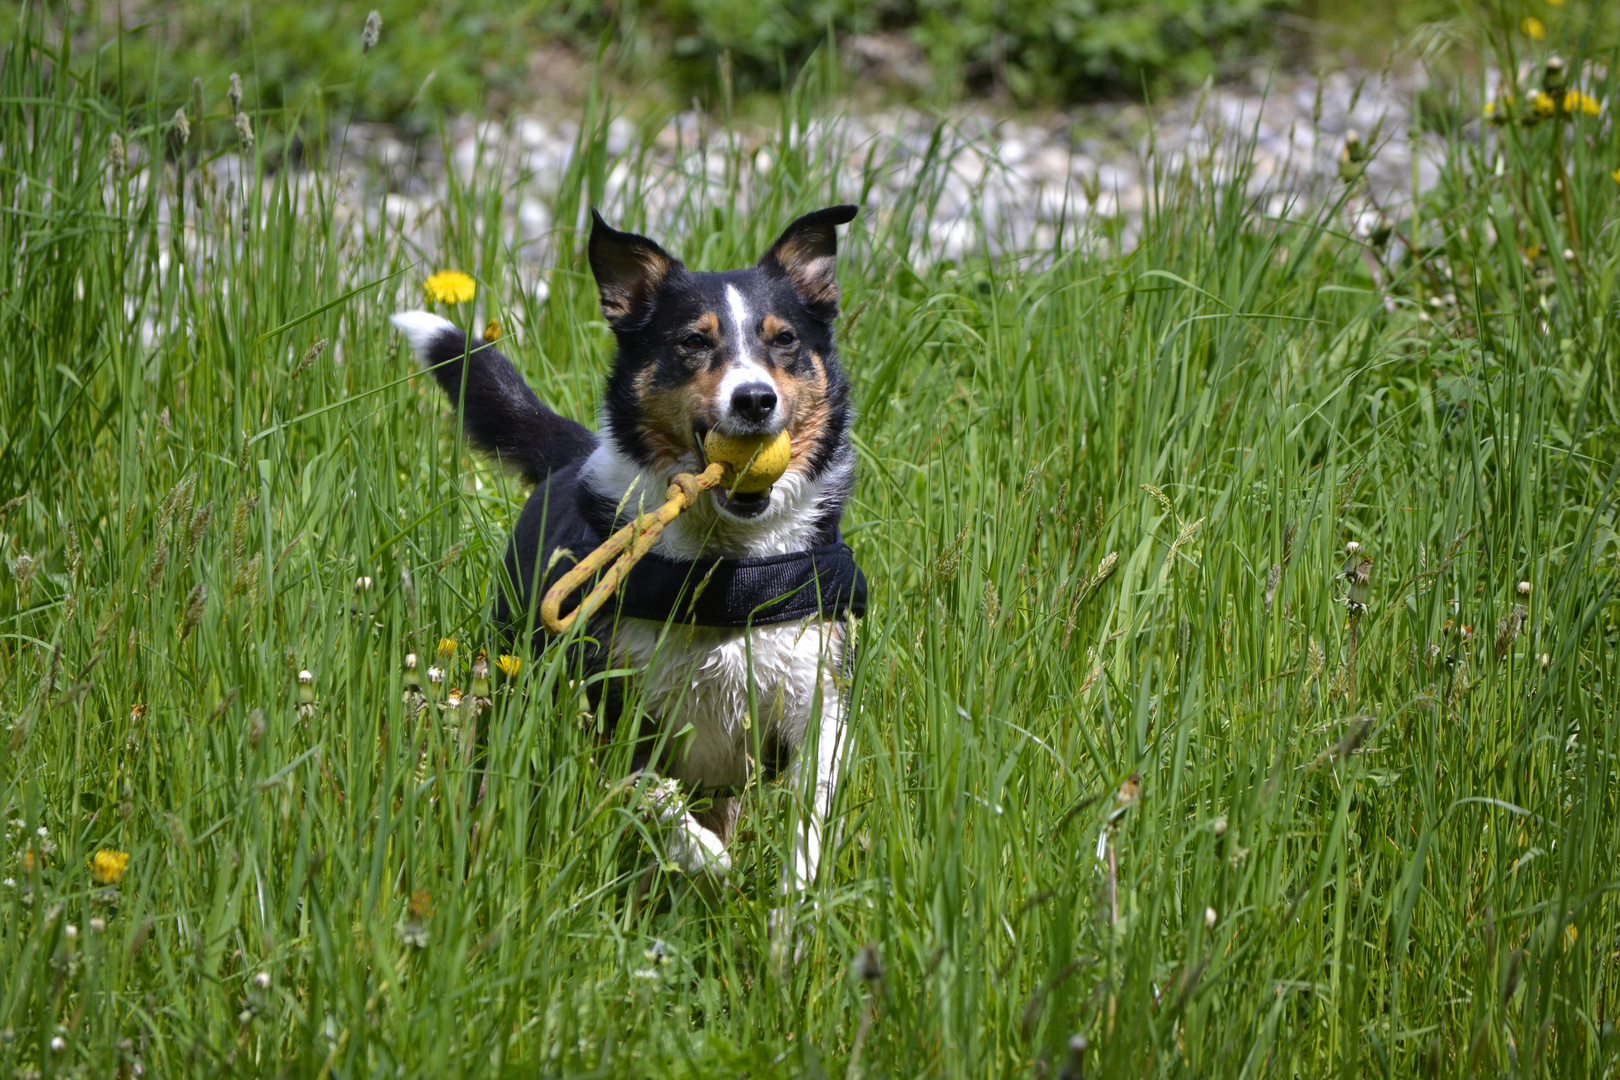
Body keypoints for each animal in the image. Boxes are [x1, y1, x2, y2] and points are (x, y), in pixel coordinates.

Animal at [393, 204, 868, 913]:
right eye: (693, 342)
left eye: (783, 341)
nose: (755, 399)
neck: (723, 570)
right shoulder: (606, 704)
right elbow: (653, 794)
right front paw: (703, 855)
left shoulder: (817, 697)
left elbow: (810, 812)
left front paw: (794, 902)